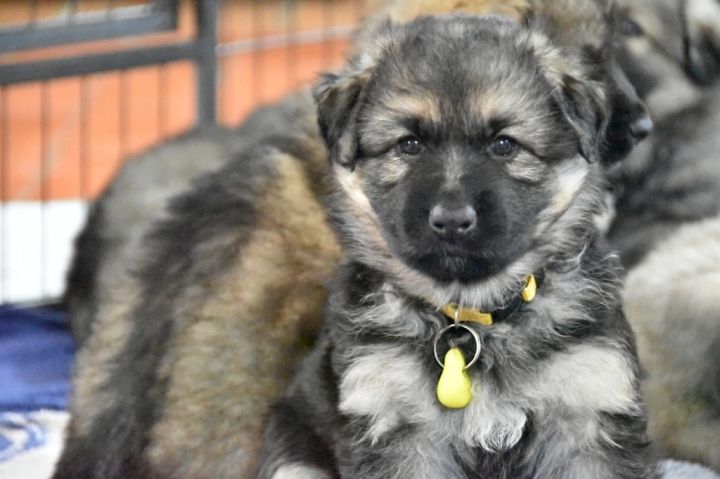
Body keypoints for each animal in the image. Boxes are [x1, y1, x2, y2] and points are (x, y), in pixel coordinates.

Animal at [256, 14, 656, 479]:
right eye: (409, 144)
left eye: (504, 144)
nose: (451, 220)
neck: (473, 317)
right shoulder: (395, 423)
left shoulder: (590, 409)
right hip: (295, 456)